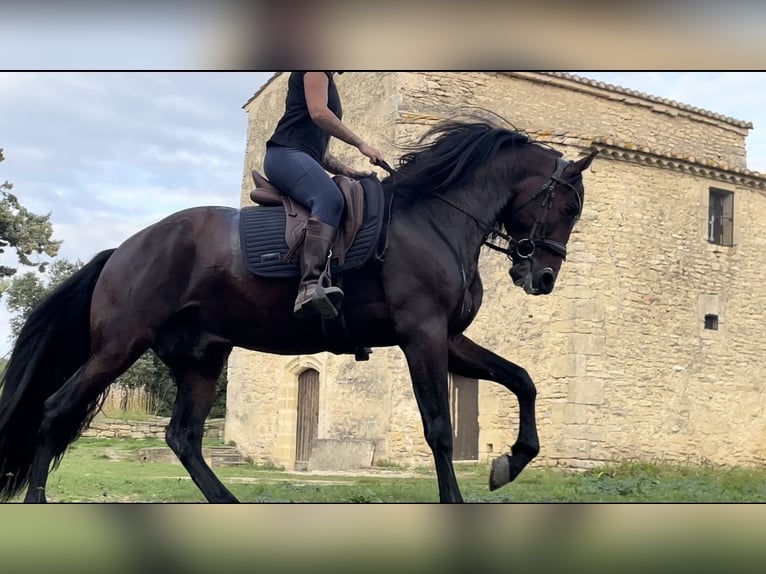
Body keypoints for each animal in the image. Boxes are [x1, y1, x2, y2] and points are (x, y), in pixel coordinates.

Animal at [0, 121, 600, 504]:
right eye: (569, 206)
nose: (543, 278)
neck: (434, 219)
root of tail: (123, 249)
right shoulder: (422, 335)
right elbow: (439, 428)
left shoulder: (448, 339)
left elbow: (522, 380)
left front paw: (510, 462)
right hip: (119, 346)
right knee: (55, 409)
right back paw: (37, 501)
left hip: (200, 357)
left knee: (183, 437)